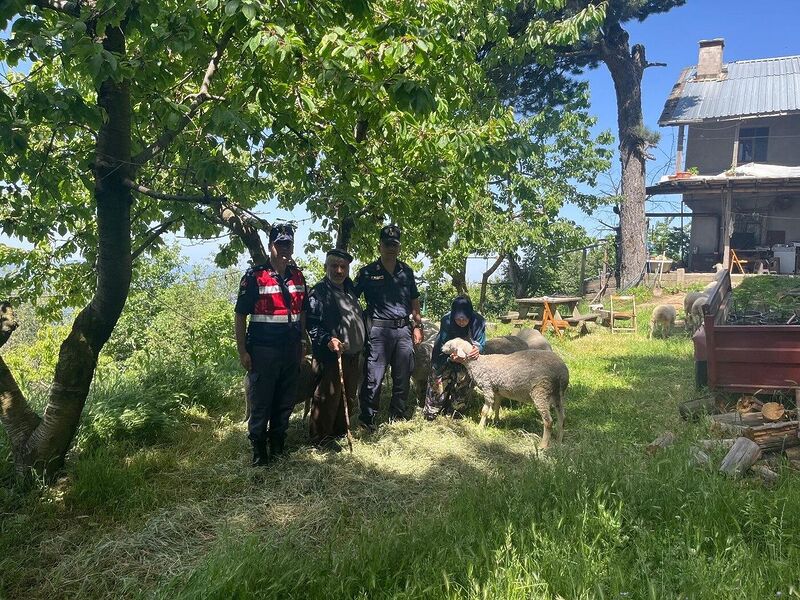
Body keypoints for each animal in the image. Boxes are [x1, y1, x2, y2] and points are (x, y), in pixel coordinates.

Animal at [438, 336, 568, 448]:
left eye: (450, 344)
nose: (441, 348)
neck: (477, 363)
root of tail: (562, 371)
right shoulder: (497, 390)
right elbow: (497, 406)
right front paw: (495, 421)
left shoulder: (487, 388)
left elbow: (484, 411)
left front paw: (480, 427)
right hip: (558, 394)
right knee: (561, 417)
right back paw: (559, 440)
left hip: (541, 391)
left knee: (548, 421)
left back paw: (543, 445)